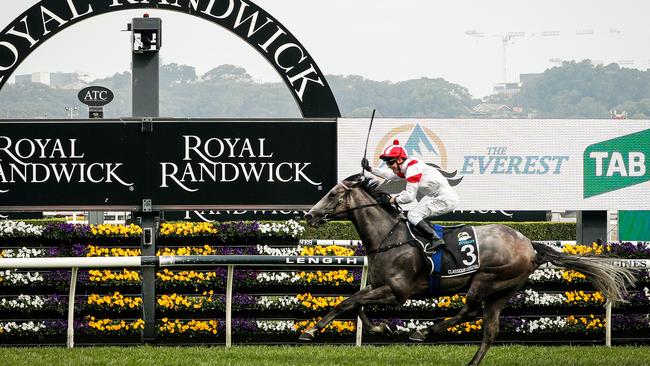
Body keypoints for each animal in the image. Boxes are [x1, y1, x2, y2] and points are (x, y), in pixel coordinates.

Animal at [300, 174, 632, 366]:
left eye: (333, 194)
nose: (309, 215)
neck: (389, 237)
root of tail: (528, 244)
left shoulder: (397, 291)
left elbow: (349, 302)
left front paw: (309, 331)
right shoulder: (378, 285)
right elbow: (353, 304)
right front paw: (377, 328)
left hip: (487, 280)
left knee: (469, 313)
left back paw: (424, 331)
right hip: (503, 291)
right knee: (490, 331)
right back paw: (470, 362)